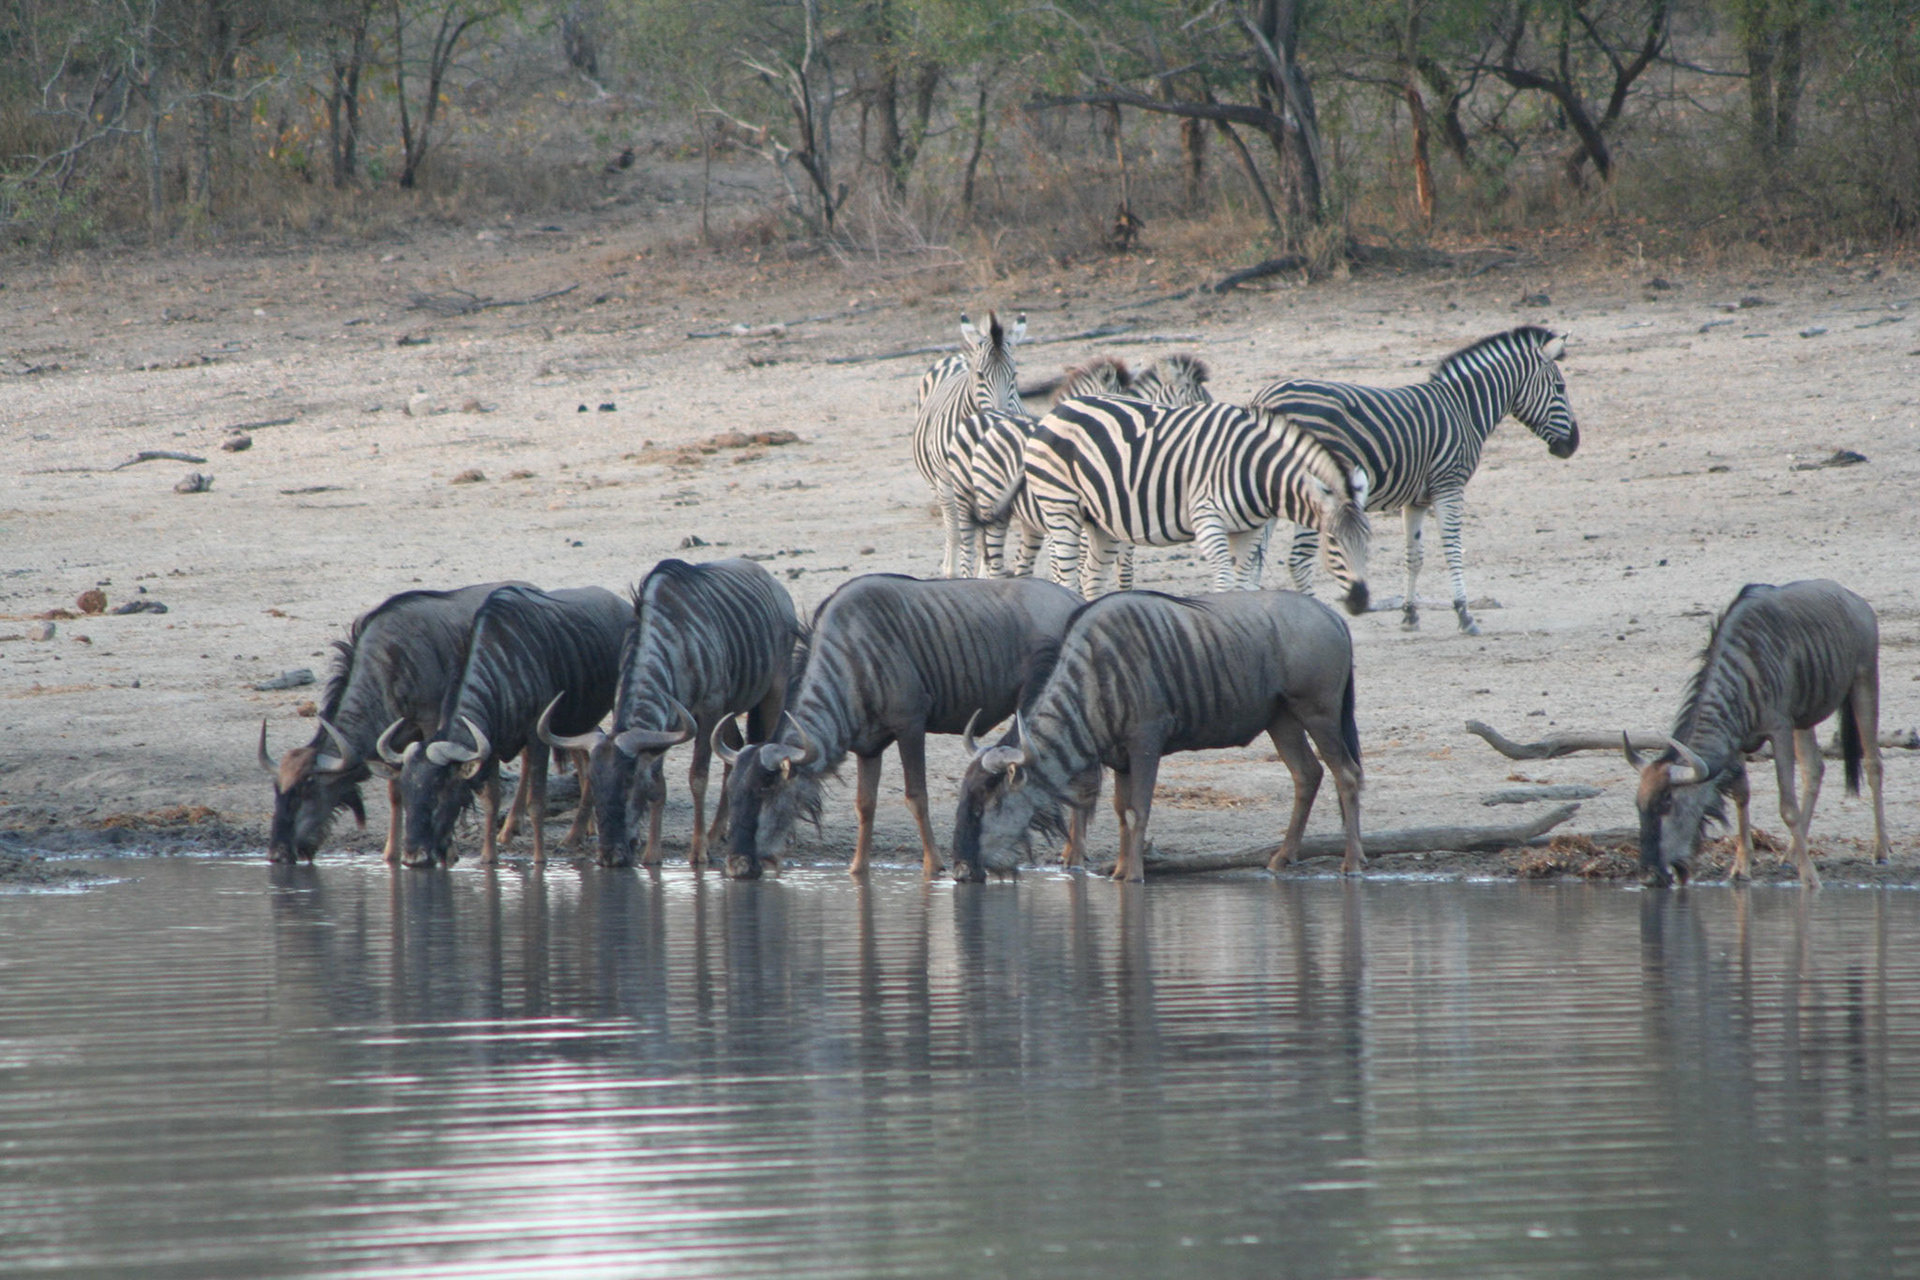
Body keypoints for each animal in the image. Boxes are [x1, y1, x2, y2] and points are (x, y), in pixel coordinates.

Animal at [912, 311, 1026, 577]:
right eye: (981, 375)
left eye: (1014, 376)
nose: (1000, 416)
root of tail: (956, 358)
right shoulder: (946, 481)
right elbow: (957, 533)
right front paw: (954, 573)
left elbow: (986, 538)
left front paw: (984, 574)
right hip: (938, 483)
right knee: (950, 524)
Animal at [1017, 395, 1373, 609]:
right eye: (1332, 541)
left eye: (1368, 540)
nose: (1360, 600)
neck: (1255, 470)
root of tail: (1057, 409)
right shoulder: (1208, 518)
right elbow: (1225, 580)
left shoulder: (1249, 529)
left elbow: (1240, 582)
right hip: (1060, 505)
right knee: (1065, 575)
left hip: (1099, 520)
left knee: (1091, 576)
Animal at [1252, 325, 1578, 635]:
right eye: (1560, 388)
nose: (1574, 444)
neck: (1465, 410)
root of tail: (1265, 398)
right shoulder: (1449, 484)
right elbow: (1452, 548)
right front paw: (1464, 614)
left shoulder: (1416, 500)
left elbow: (1414, 556)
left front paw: (1410, 615)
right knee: (1298, 561)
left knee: (1256, 557)